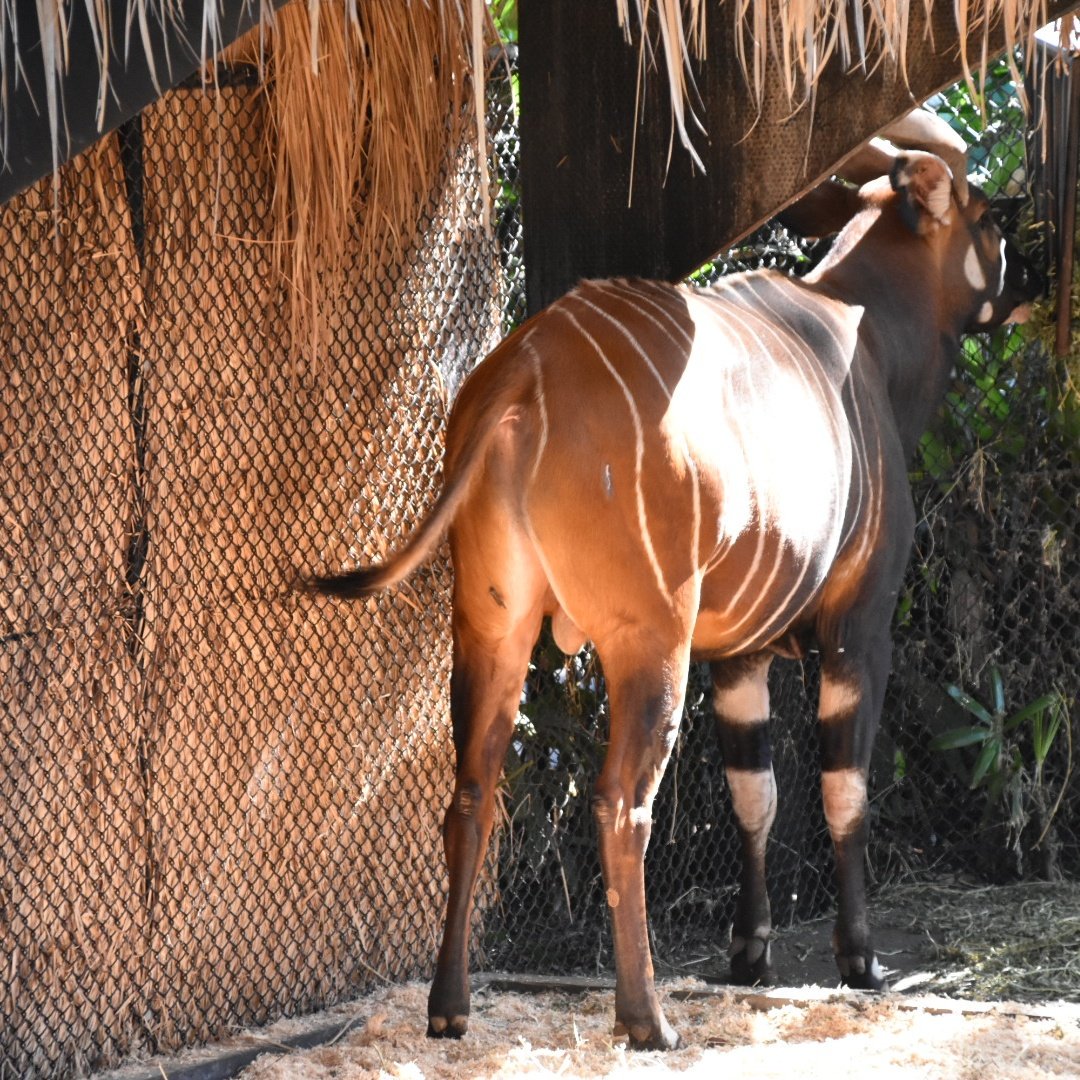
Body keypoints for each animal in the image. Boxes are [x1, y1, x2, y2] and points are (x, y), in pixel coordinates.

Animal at [311, 130, 1036, 1049]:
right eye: (991, 218)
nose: (1035, 280)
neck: (858, 334)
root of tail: (522, 375)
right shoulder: (857, 626)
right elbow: (842, 791)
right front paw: (860, 961)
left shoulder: (741, 653)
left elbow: (754, 796)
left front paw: (750, 955)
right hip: (649, 642)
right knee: (622, 803)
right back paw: (647, 1018)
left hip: (490, 629)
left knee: (470, 793)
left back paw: (450, 1010)